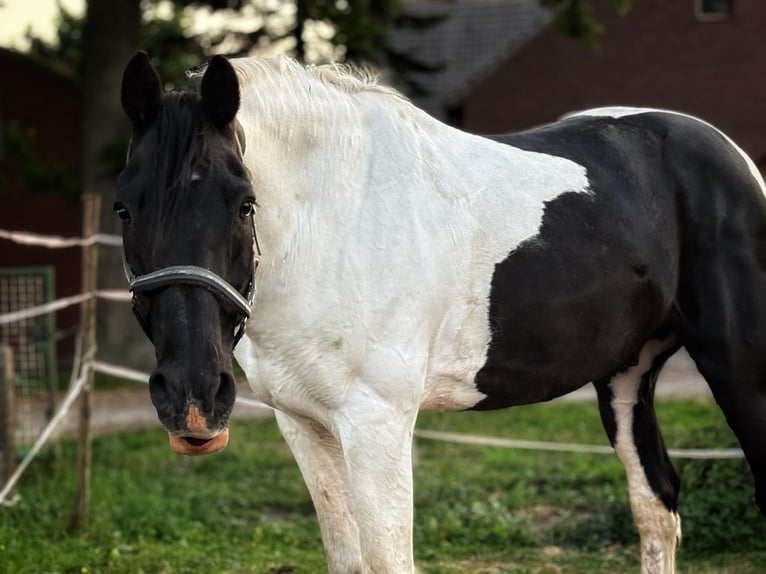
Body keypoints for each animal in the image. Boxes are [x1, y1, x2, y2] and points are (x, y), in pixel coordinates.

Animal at [117, 50, 766, 574]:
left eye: (245, 203)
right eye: (124, 209)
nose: (193, 396)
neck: (332, 222)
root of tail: (735, 159)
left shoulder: (377, 424)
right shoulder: (303, 425)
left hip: (737, 368)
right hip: (627, 376)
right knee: (656, 506)